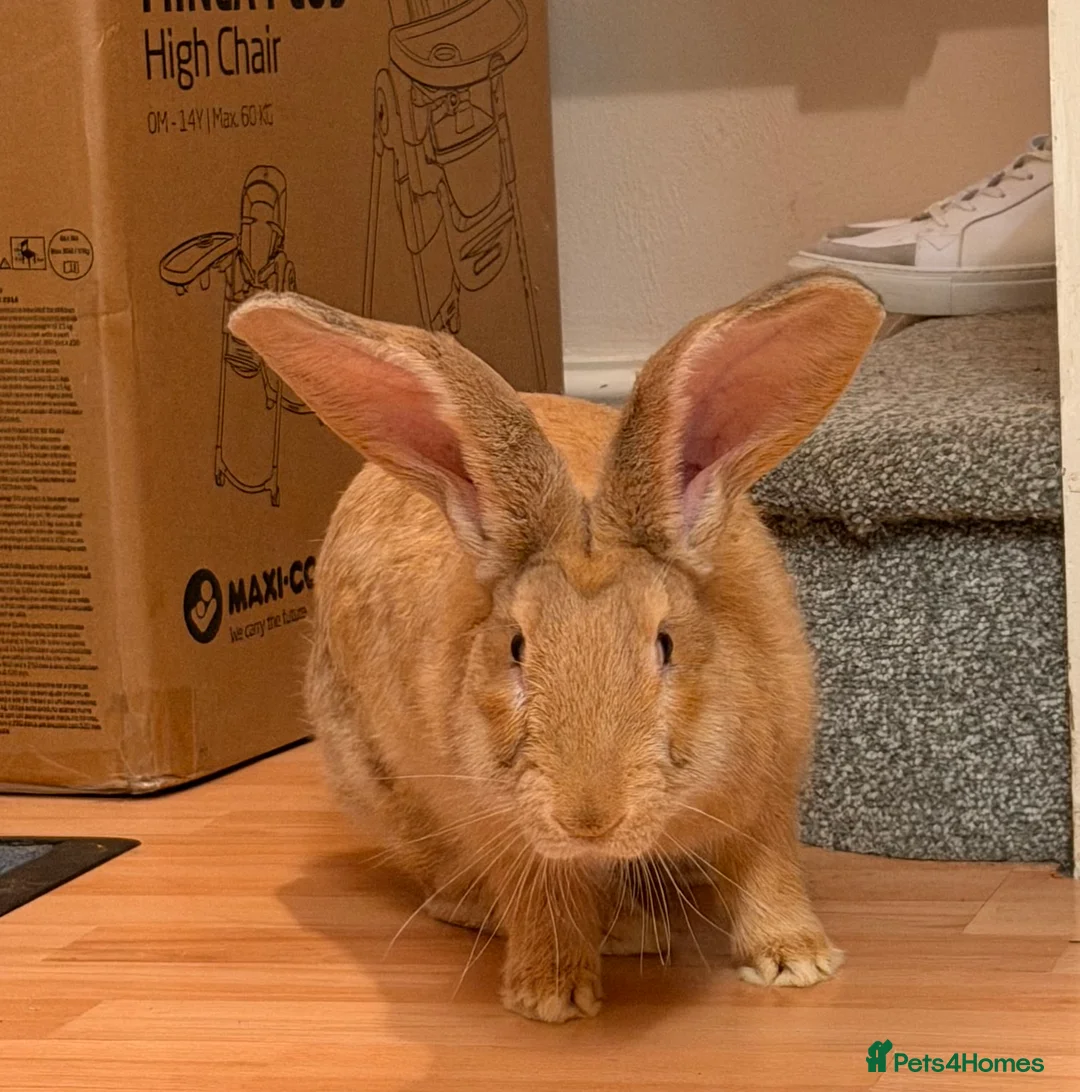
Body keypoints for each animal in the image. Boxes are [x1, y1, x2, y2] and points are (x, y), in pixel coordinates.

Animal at [228, 270, 883, 1023]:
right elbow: (541, 899)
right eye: (516, 647)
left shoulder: (770, 790)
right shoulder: (501, 826)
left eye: (664, 644)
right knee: (450, 888)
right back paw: (617, 930)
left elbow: (766, 873)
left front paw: (795, 962)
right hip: (384, 787)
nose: (588, 817)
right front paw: (550, 997)